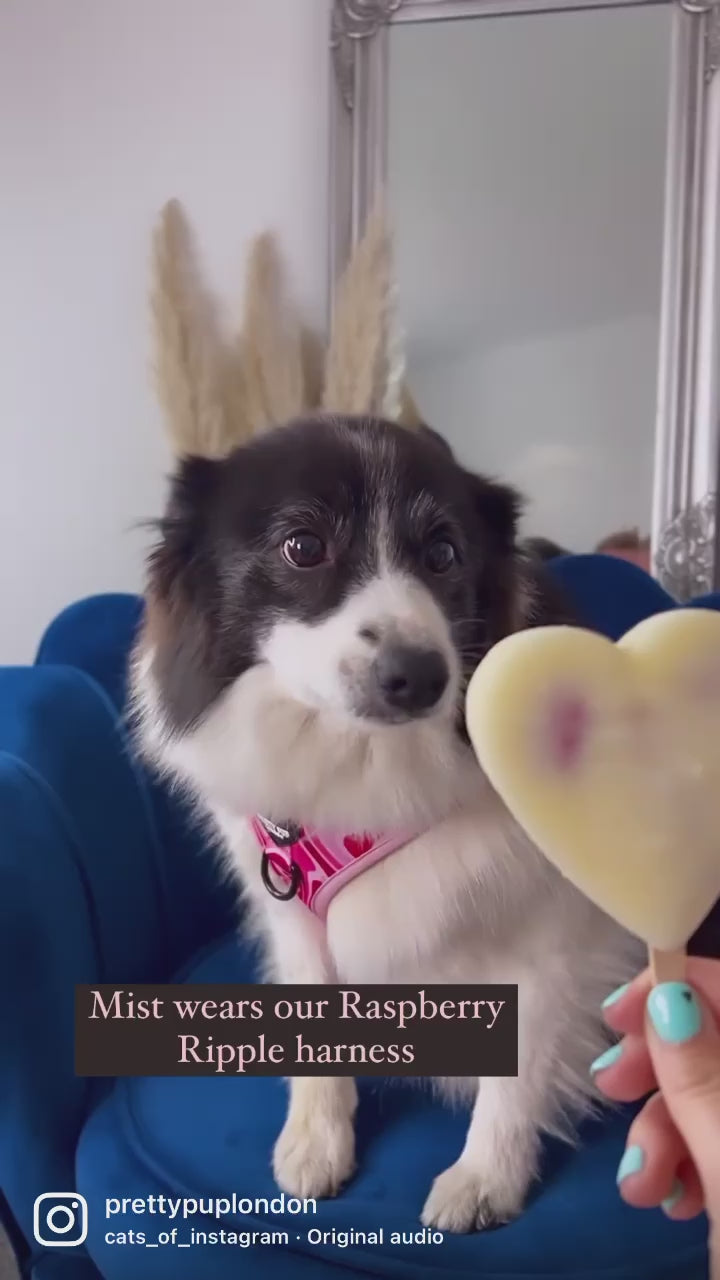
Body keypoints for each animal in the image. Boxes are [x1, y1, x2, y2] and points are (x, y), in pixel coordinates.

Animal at [130, 417, 638, 1228]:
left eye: (444, 554)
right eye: (303, 546)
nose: (422, 677)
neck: (368, 771)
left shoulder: (551, 934)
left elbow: (518, 1072)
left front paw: (485, 1179)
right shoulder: (292, 914)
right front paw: (316, 1140)